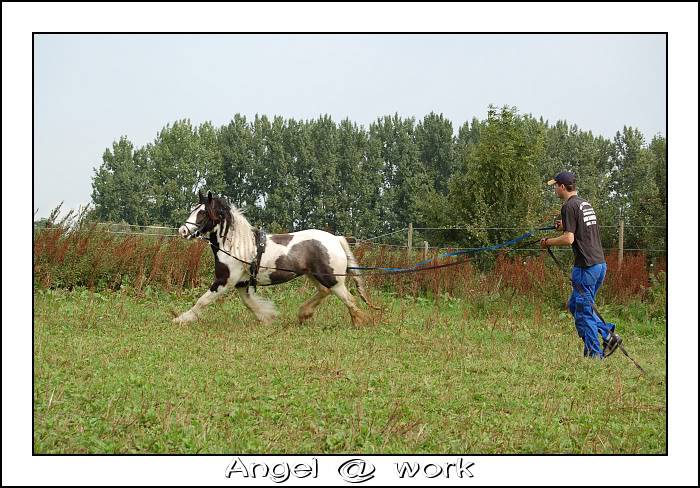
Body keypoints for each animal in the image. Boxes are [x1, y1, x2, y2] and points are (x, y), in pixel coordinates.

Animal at [173, 193, 380, 326]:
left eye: (202, 213)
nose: (182, 231)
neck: (236, 246)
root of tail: (336, 239)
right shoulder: (241, 283)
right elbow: (250, 304)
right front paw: (268, 318)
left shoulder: (224, 281)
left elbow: (202, 301)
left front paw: (180, 319)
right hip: (314, 276)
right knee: (324, 291)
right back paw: (304, 314)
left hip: (332, 279)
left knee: (348, 299)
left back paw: (358, 323)